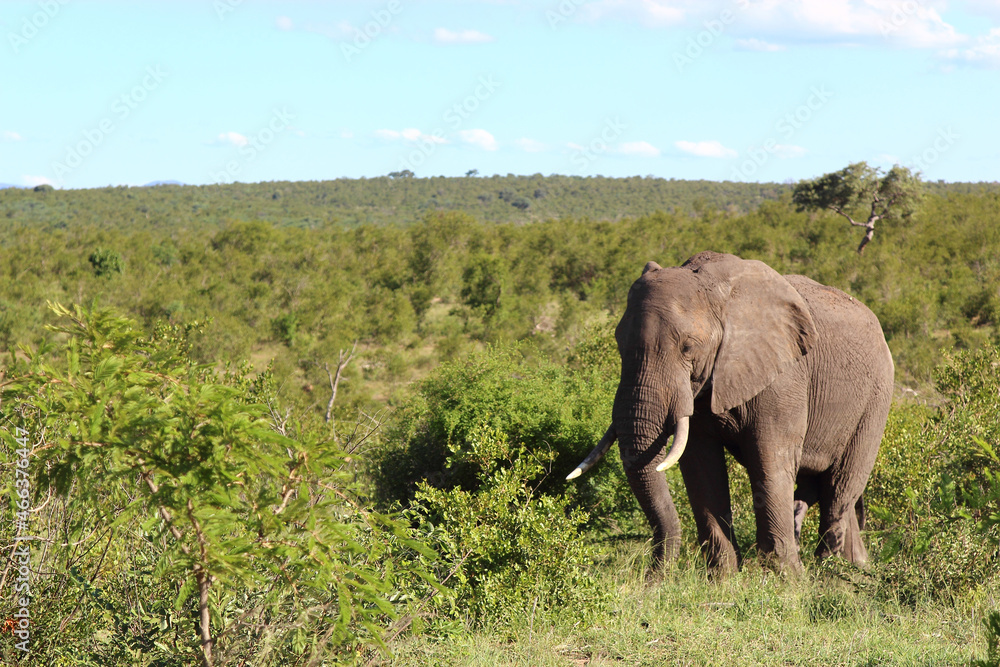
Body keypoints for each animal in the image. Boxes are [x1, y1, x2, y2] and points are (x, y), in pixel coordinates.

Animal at [568, 250, 896, 576]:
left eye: (688, 347)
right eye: (619, 343)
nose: (652, 580)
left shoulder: (783, 377)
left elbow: (770, 461)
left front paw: (784, 579)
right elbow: (700, 464)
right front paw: (723, 578)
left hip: (876, 399)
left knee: (839, 490)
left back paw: (831, 571)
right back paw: (853, 571)